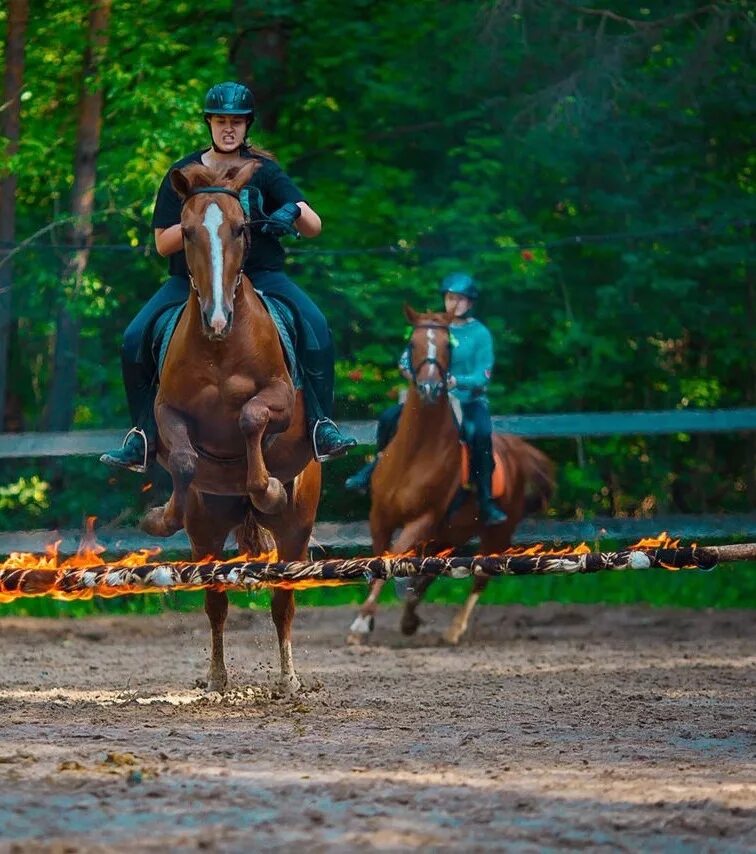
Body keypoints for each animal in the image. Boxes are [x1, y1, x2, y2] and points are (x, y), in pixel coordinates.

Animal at [140, 160, 318, 696]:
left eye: (241, 228)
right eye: (187, 231)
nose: (216, 318)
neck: (220, 346)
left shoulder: (280, 397)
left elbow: (251, 415)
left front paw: (267, 488)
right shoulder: (167, 411)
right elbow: (182, 457)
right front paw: (161, 516)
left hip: (296, 531)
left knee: (283, 600)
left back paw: (288, 679)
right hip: (208, 529)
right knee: (215, 599)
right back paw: (217, 678)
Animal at [348, 308, 556, 648]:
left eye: (448, 345)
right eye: (413, 342)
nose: (430, 388)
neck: (415, 451)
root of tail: (514, 449)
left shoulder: (422, 521)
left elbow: (391, 560)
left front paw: (361, 623)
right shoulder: (380, 516)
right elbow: (381, 562)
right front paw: (367, 620)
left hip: (494, 534)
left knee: (481, 577)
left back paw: (454, 629)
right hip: (448, 535)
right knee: (429, 573)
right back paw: (409, 618)